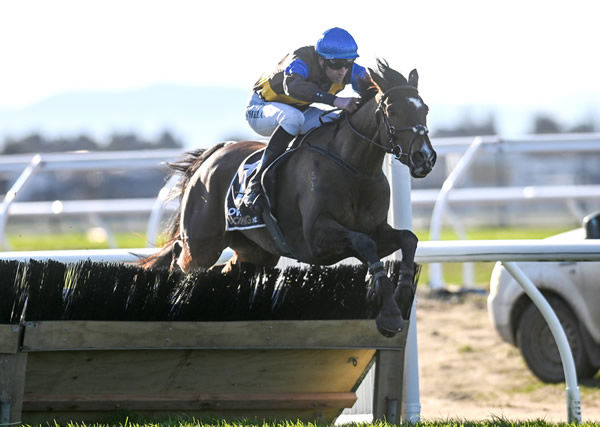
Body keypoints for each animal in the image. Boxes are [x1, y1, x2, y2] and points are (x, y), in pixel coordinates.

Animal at [145, 61, 436, 338]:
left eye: (425, 109)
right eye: (392, 111)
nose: (425, 157)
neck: (354, 168)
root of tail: (211, 156)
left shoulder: (376, 229)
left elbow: (408, 239)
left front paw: (403, 295)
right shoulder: (316, 237)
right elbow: (364, 243)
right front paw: (390, 315)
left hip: (255, 252)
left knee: (226, 270)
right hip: (202, 244)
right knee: (180, 261)